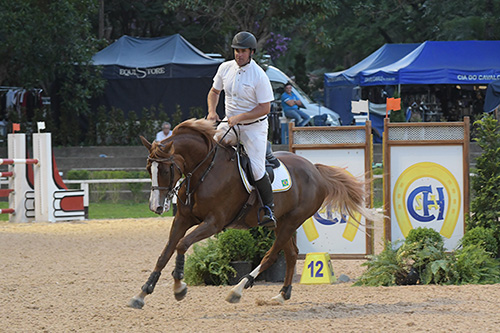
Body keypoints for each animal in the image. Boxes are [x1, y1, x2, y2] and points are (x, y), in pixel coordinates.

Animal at [127, 117, 376, 308]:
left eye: (166, 169)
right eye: (149, 169)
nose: (156, 207)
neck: (203, 172)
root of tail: (314, 170)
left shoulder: (214, 223)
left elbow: (182, 245)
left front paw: (179, 287)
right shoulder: (183, 218)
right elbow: (165, 252)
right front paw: (142, 293)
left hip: (290, 221)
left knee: (271, 256)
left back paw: (237, 290)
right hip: (281, 223)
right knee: (291, 254)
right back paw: (282, 294)